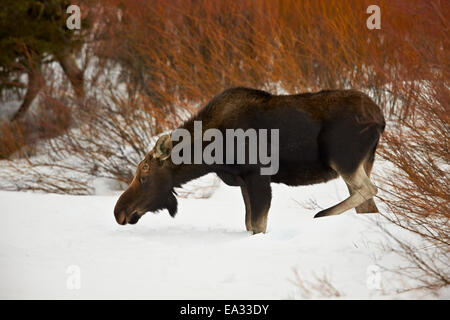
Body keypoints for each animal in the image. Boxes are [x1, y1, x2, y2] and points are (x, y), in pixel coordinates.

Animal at [114, 86, 384, 234]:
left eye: (145, 174)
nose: (119, 212)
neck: (210, 154)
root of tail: (380, 118)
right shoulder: (243, 179)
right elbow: (249, 223)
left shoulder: (258, 175)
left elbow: (258, 225)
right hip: (362, 161)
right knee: (367, 204)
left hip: (342, 157)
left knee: (370, 188)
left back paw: (322, 214)